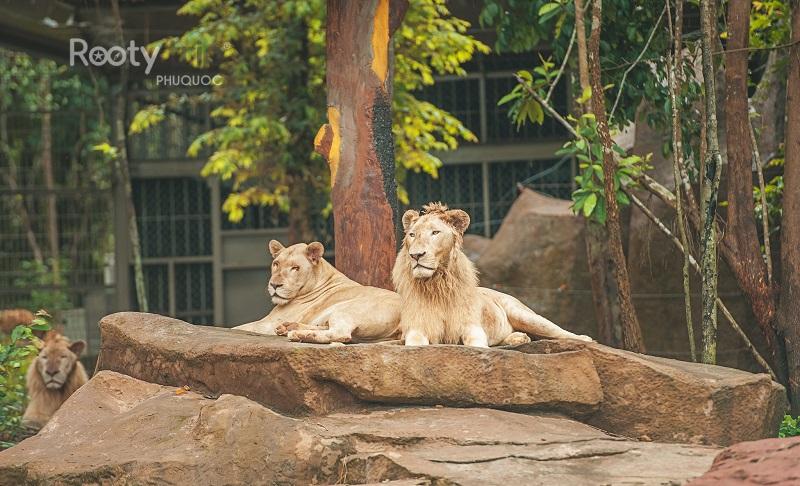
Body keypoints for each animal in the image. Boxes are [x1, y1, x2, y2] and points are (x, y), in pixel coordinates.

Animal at [233, 240, 401, 344]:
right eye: (276, 264)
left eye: (295, 268)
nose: (274, 285)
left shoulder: (269, 322)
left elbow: (239, 327)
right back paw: (290, 328)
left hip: (348, 309)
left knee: (341, 334)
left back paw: (299, 334)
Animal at [392, 202, 593, 347]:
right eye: (412, 235)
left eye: (435, 232)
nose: (416, 255)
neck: (437, 284)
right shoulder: (417, 327)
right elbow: (414, 344)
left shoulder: (472, 326)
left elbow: (477, 346)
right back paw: (519, 338)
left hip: (523, 314)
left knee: (557, 331)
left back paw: (585, 339)